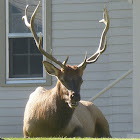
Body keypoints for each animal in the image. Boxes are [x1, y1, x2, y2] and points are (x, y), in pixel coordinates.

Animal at [22, 1, 111, 138]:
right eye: (63, 79)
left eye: (81, 80)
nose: (75, 97)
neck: (51, 128)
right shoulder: (26, 132)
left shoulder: (79, 127)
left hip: (104, 121)